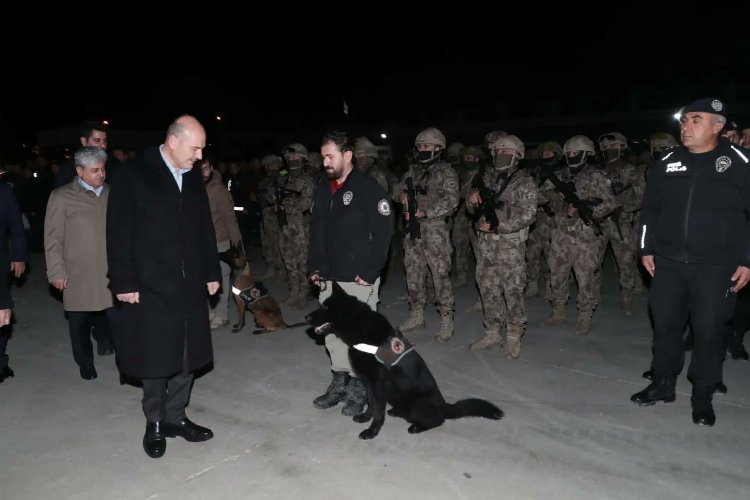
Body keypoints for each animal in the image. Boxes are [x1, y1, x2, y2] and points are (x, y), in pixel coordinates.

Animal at [306, 284, 506, 440]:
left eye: (325, 308)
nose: (306, 318)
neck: (360, 327)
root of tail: (444, 406)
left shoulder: (378, 383)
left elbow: (378, 411)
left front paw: (372, 431)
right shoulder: (370, 383)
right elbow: (371, 404)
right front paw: (365, 417)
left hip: (413, 403)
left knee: (438, 420)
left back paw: (416, 427)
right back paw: (396, 412)